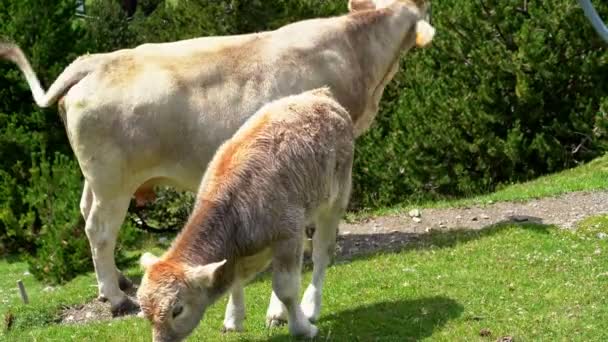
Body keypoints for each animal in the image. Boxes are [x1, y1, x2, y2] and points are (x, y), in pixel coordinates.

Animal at [133, 87, 352, 340]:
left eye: (177, 310)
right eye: (146, 314)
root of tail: (320, 94)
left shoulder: (287, 233)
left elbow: (286, 288)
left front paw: (303, 328)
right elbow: (239, 279)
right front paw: (233, 318)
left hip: (335, 199)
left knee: (320, 255)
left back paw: (310, 306)